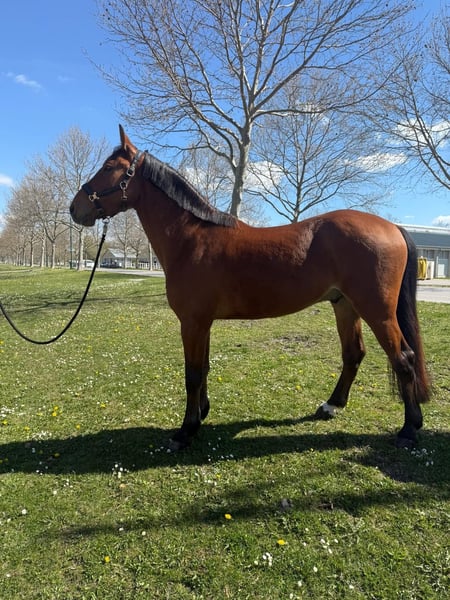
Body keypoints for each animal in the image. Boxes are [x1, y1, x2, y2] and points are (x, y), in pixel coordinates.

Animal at [70, 125, 430, 451]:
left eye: (108, 168)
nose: (75, 208)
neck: (191, 239)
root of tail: (392, 227)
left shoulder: (192, 323)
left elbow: (192, 374)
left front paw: (185, 432)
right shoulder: (203, 323)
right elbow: (204, 369)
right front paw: (201, 415)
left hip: (377, 311)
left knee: (403, 359)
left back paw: (409, 429)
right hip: (344, 305)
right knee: (354, 354)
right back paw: (331, 406)